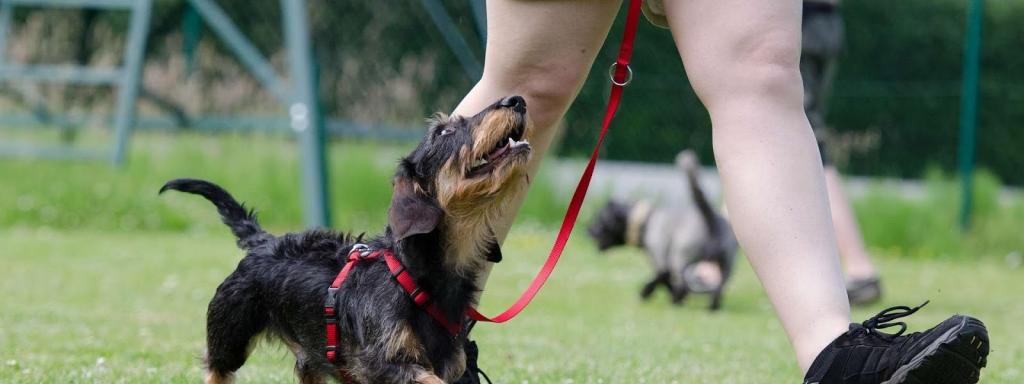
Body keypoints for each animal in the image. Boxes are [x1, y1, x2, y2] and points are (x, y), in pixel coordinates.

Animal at [160, 96, 536, 384]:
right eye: (443, 131)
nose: (516, 100)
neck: (417, 275)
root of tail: (265, 242)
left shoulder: (449, 363)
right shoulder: (383, 364)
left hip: (309, 357)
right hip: (229, 338)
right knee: (216, 369)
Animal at [589, 150, 741, 313]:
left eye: (599, 219)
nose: (588, 230)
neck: (646, 221)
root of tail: (710, 217)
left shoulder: (660, 258)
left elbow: (662, 278)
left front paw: (646, 292)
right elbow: (664, 279)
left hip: (681, 258)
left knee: (682, 284)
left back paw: (676, 301)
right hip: (726, 264)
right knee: (718, 288)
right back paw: (711, 308)